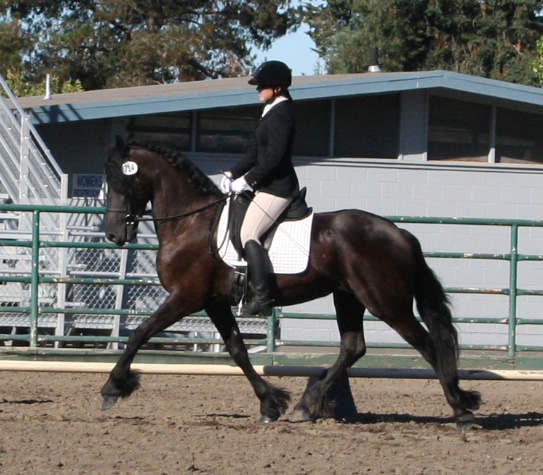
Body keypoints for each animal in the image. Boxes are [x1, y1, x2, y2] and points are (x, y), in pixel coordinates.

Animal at [101, 138, 480, 428]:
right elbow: (237, 351)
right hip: (348, 296)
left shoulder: (187, 297)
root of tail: (401, 234)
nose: (113, 235)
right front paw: (271, 403)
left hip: (385, 302)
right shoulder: (214, 302)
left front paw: (113, 388)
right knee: (353, 347)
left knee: (428, 345)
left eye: (118, 181)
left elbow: (139, 333)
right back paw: (306, 406)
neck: (191, 222)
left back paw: (460, 409)